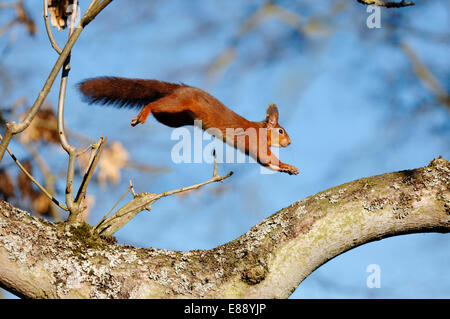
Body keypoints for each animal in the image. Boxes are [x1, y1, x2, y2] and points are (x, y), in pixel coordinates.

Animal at [78, 76, 298, 176]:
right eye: (281, 131)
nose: (289, 142)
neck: (262, 129)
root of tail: (180, 88)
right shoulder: (256, 142)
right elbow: (267, 157)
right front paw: (288, 165)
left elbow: (265, 163)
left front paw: (286, 170)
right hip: (175, 105)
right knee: (154, 103)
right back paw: (143, 113)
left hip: (175, 119)